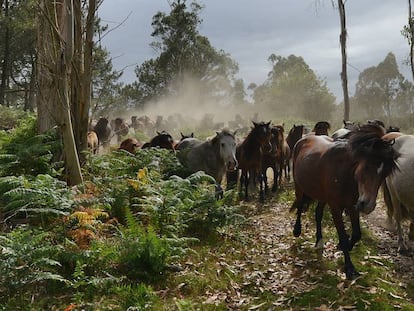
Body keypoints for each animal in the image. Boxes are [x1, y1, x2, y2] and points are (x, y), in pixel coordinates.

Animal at [290, 124, 400, 280]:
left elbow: (356, 234)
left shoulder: (352, 206)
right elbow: (342, 236)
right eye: (367, 166)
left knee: (318, 214)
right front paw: (349, 267)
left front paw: (344, 247)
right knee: (300, 206)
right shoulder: (336, 207)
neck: (346, 173)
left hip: (323, 196)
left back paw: (319, 240)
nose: (368, 205)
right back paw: (297, 230)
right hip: (299, 187)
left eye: (385, 173)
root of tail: (303, 139)